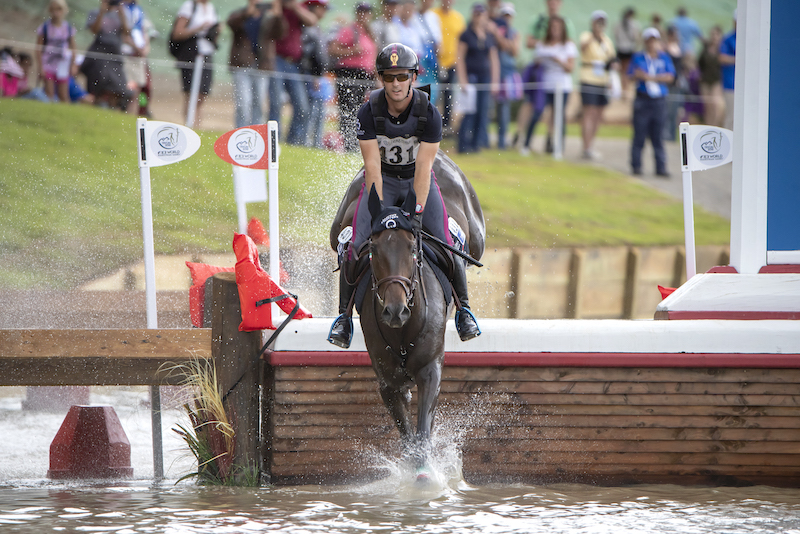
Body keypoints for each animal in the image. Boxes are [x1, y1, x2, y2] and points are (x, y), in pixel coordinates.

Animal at [328, 151, 484, 478]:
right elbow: (407, 432)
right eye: (373, 250)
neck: (403, 328)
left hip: (473, 236)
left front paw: (425, 474)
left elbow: (423, 430)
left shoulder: (430, 370)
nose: (395, 310)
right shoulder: (388, 383)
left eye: (413, 248)